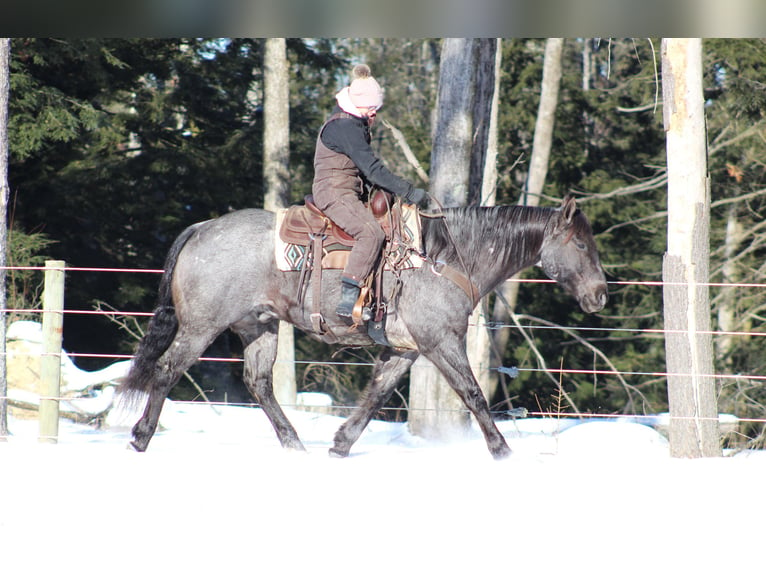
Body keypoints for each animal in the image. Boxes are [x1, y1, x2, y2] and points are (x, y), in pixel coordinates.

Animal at [120, 196, 608, 462]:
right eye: (581, 244)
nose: (601, 294)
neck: (445, 257)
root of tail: (202, 228)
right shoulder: (440, 341)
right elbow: (472, 394)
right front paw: (502, 450)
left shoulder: (406, 349)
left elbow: (376, 395)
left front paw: (341, 443)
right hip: (201, 326)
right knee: (166, 370)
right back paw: (140, 437)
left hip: (259, 326)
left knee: (258, 383)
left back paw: (295, 444)